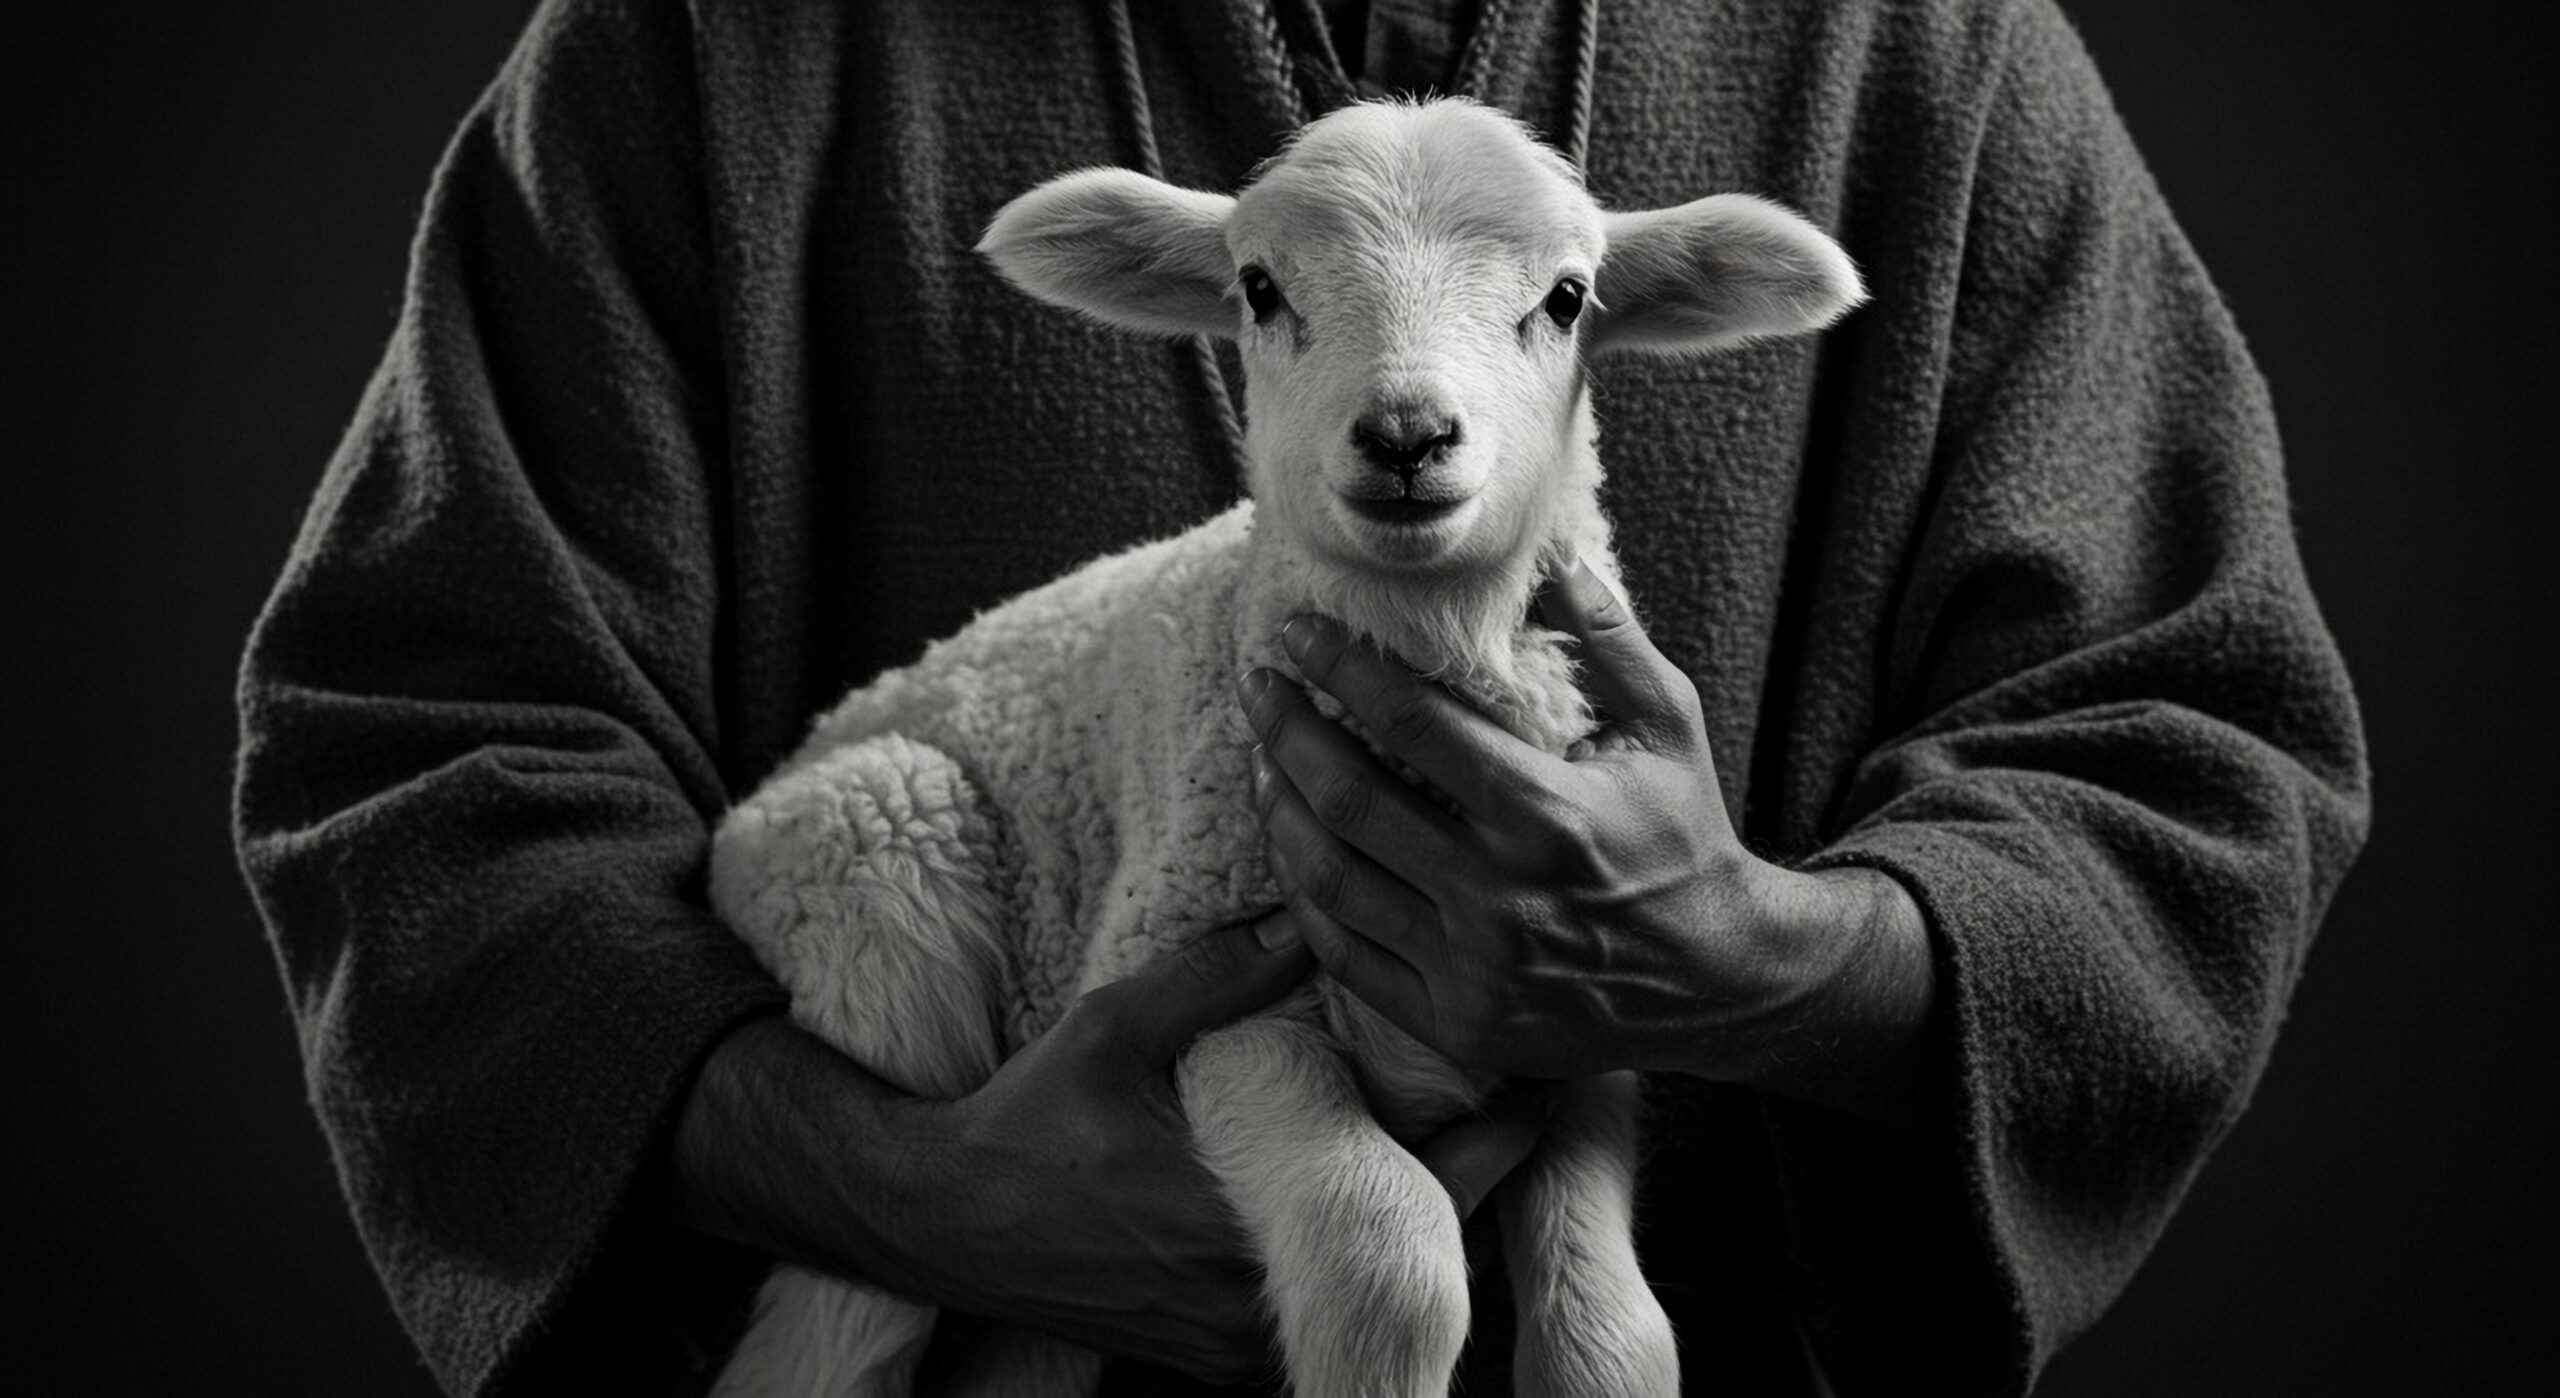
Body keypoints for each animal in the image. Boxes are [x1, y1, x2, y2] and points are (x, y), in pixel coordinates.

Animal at [707, 97, 1865, 1398]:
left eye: (1568, 299)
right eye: (1258, 290)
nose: (1406, 436)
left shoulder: (1581, 1030)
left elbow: (1610, 1339)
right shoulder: (1194, 996)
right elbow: (1388, 1265)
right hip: (876, 884)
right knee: (835, 1333)